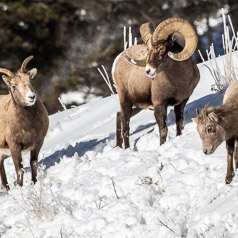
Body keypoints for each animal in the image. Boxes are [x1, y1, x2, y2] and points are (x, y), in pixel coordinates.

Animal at [0, 55, 48, 190]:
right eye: (13, 86)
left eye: (30, 81)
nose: (31, 97)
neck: (28, 127)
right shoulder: (14, 147)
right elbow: (20, 170)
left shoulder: (38, 143)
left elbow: (34, 164)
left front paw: (34, 183)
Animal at [112, 17, 200, 148]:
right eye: (148, 50)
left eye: (162, 48)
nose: (148, 71)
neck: (178, 82)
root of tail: (116, 61)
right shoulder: (159, 105)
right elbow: (163, 130)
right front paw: (161, 146)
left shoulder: (181, 103)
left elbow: (179, 124)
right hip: (126, 102)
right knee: (125, 128)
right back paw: (126, 149)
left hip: (136, 106)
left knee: (118, 115)